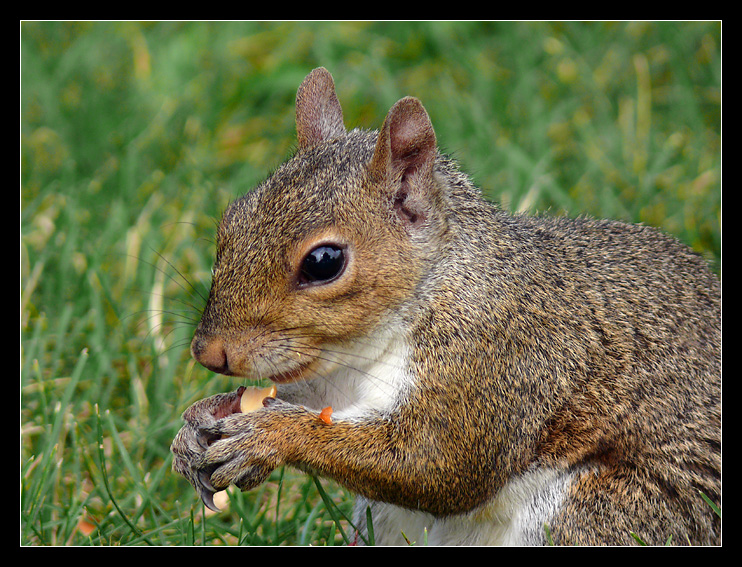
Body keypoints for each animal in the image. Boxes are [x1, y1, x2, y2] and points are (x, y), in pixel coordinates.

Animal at [171, 67, 721, 546]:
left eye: (324, 262)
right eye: (232, 219)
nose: (210, 353)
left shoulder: (496, 361)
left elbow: (436, 464)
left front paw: (270, 435)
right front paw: (200, 422)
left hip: (605, 512)